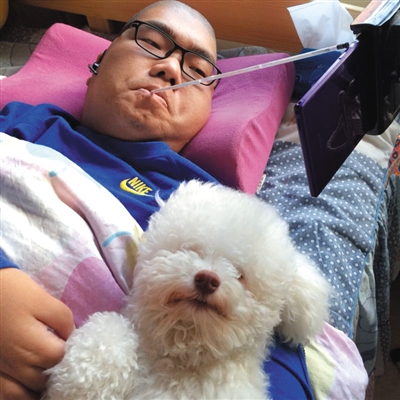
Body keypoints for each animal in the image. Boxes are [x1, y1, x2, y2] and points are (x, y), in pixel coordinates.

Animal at [44, 180, 331, 399]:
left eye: (240, 275)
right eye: (189, 250)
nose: (207, 279)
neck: (185, 357)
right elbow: (108, 330)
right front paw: (82, 383)